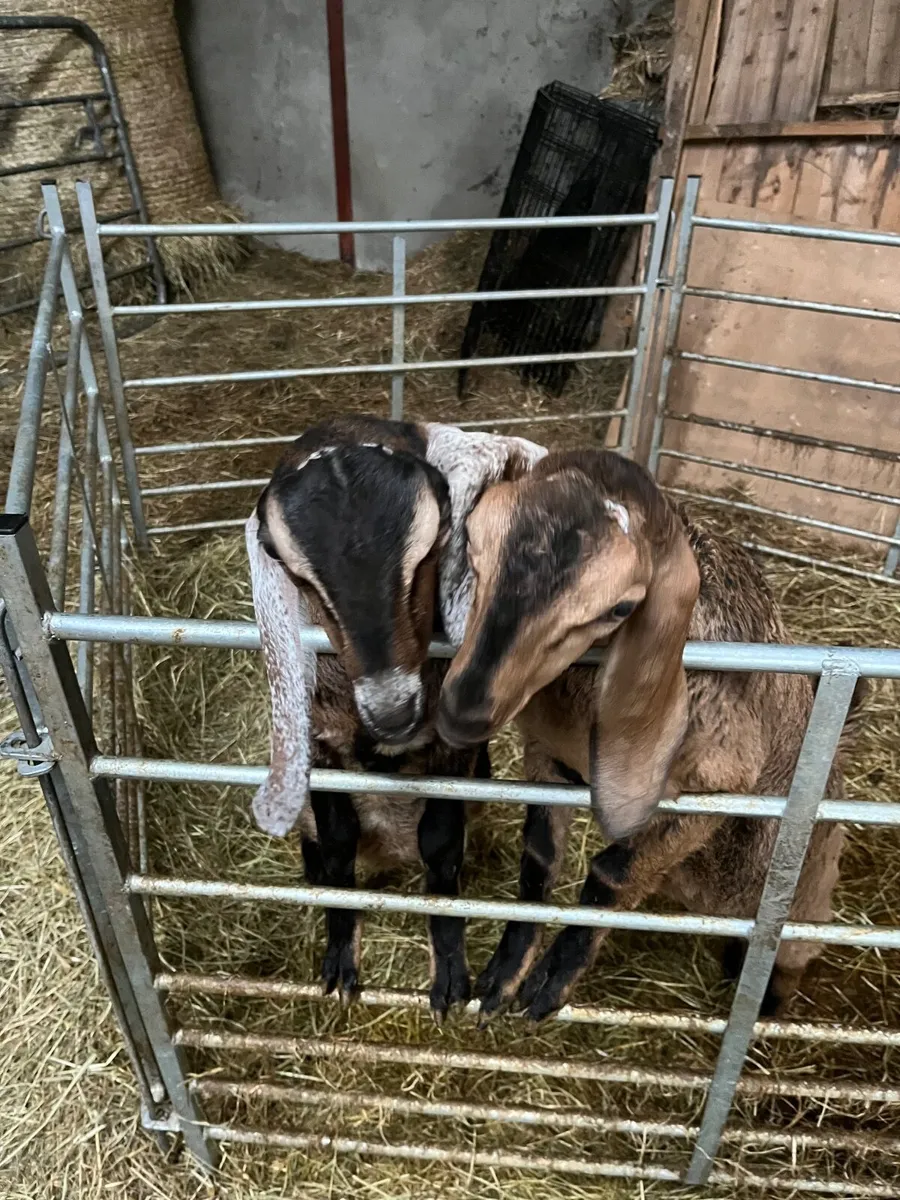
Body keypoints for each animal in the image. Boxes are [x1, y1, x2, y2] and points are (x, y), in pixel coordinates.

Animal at [246, 414, 546, 1019]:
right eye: (303, 579)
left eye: (429, 551)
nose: (393, 711)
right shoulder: (323, 744)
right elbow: (338, 842)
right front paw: (340, 957)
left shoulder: (453, 751)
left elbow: (441, 843)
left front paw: (450, 971)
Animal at [437, 448, 862, 1022]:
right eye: (475, 548)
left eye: (620, 608)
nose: (463, 710)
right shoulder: (545, 755)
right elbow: (540, 860)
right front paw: (504, 976)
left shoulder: (717, 789)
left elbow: (612, 874)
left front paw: (550, 983)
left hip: (805, 894)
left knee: (793, 949)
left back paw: (768, 1002)